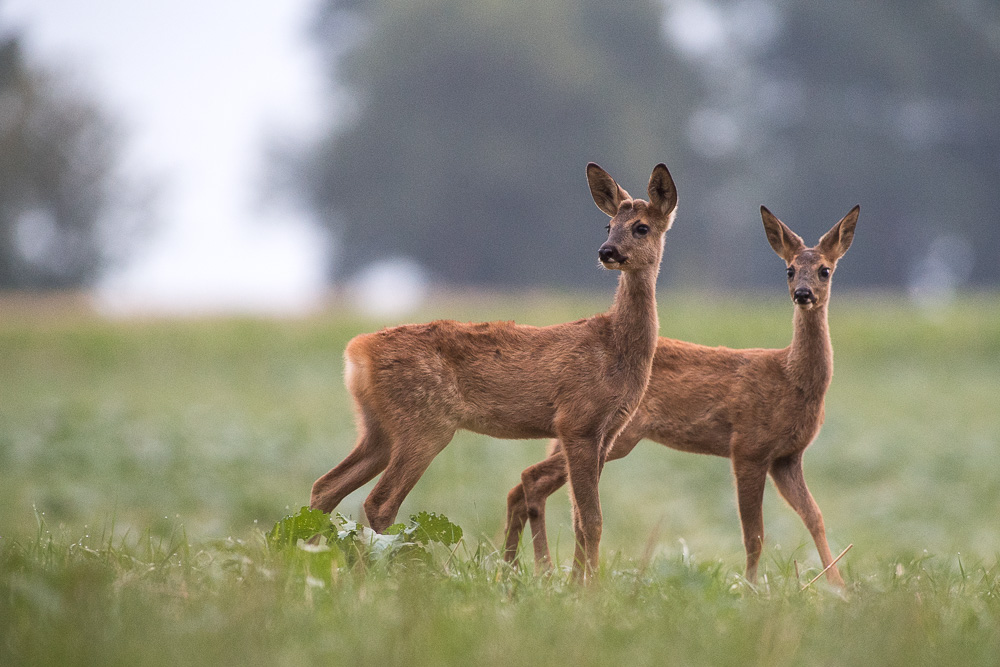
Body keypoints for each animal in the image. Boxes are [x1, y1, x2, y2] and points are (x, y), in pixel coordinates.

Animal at [310, 162, 680, 580]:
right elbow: (591, 519)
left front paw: (578, 582)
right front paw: (585, 587)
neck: (615, 346)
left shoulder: (606, 431)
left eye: (641, 227)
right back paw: (395, 573)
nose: (607, 252)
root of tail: (357, 352)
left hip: (378, 428)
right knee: (378, 502)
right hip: (424, 424)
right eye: (608, 225)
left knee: (327, 485)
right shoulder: (577, 422)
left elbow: (581, 518)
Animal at [504, 205, 864, 588]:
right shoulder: (749, 446)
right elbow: (754, 533)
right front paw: (751, 588)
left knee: (523, 488)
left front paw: (838, 587)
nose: (803, 294)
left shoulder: (788, 457)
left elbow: (815, 517)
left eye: (825, 270)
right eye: (790, 270)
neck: (792, 378)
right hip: (616, 434)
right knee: (533, 480)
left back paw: (519, 569)